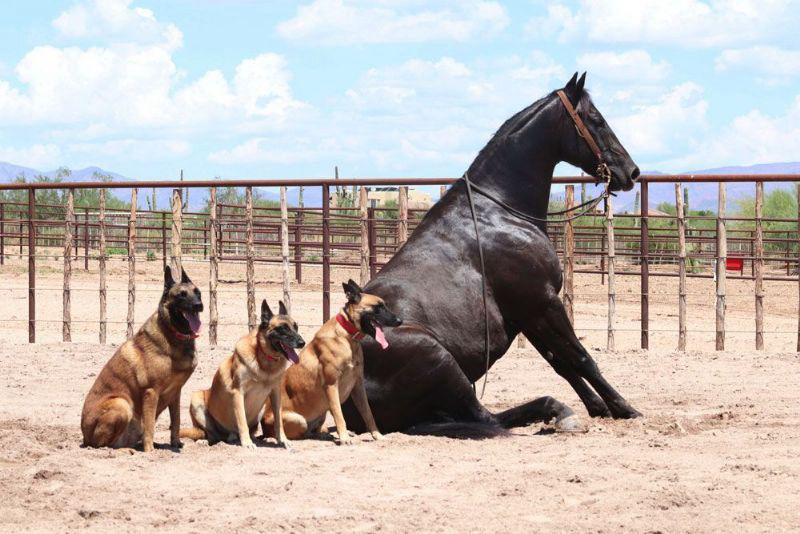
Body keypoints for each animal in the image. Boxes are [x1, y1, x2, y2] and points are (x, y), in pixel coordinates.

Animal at [343, 72, 642, 436]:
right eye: (596, 119)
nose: (631, 172)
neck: (500, 212)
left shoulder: (527, 313)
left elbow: (561, 362)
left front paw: (598, 407)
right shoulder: (543, 302)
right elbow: (582, 358)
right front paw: (623, 407)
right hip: (439, 356)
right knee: (487, 418)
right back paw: (556, 410)